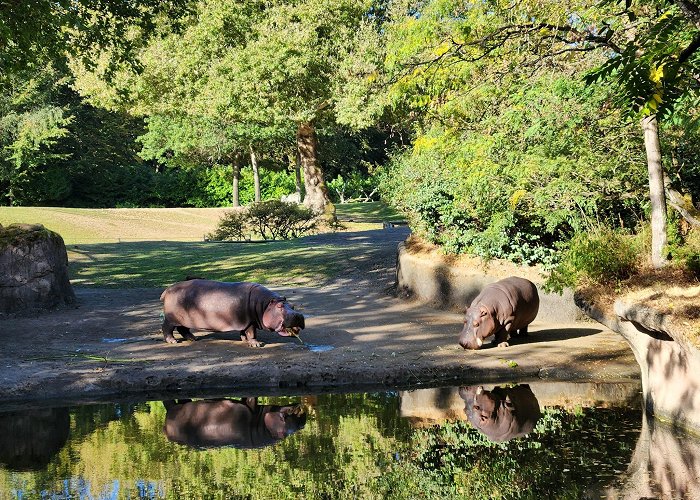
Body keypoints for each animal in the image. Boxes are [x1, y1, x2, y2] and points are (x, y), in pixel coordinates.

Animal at [160, 280, 304, 346]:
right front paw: (256, 344)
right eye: (279, 306)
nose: (298, 315)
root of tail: (167, 290)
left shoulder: (245, 321)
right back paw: (173, 341)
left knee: (183, 329)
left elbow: (244, 332)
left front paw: (244, 340)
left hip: (183, 319)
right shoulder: (251, 321)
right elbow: (252, 333)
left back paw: (193, 338)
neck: (265, 305)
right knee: (167, 328)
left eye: (292, 305)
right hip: (171, 318)